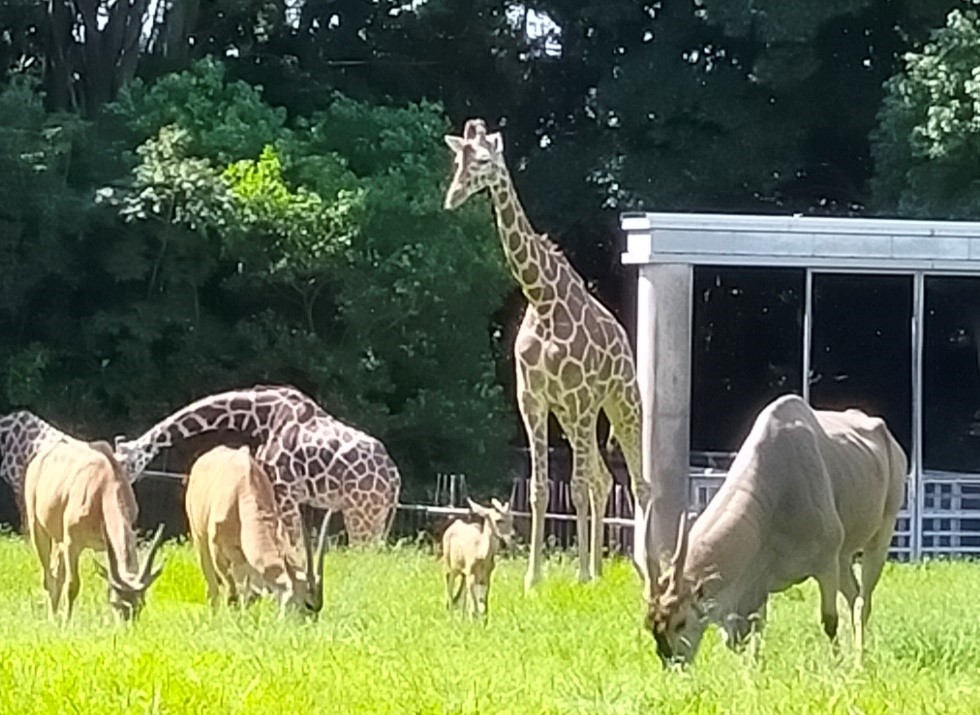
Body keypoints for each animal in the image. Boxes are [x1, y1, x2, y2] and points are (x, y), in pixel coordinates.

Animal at [23, 436, 166, 620]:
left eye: (140, 606)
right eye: (117, 604)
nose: (127, 624)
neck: (105, 486)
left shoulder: (107, 542)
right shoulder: (72, 541)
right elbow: (72, 584)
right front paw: (66, 622)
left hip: (60, 537)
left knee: (56, 573)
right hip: (36, 523)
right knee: (48, 575)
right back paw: (52, 619)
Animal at [115, 386, 402, 544]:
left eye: (126, 464)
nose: (122, 494)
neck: (259, 418)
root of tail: (394, 475)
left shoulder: (285, 490)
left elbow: (294, 543)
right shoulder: (279, 491)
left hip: (361, 510)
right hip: (377, 514)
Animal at [186, 444, 332, 620]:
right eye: (308, 604)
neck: (242, 490)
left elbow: (250, 595)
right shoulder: (220, 556)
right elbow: (232, 595)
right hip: (200, 542)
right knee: (213, 589)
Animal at [442, 116, 644, 588]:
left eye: (484, 160)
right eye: (458, 161)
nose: (451, 197)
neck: (543, 296)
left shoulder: (579, 397)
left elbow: (574, 487)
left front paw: (579, 574)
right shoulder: (533, 398)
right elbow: (540, 488)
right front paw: (535, 578)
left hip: (619, 402)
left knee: (635, 481)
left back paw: (641, 568)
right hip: (574, 416)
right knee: (603, 479)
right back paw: (600, 569)